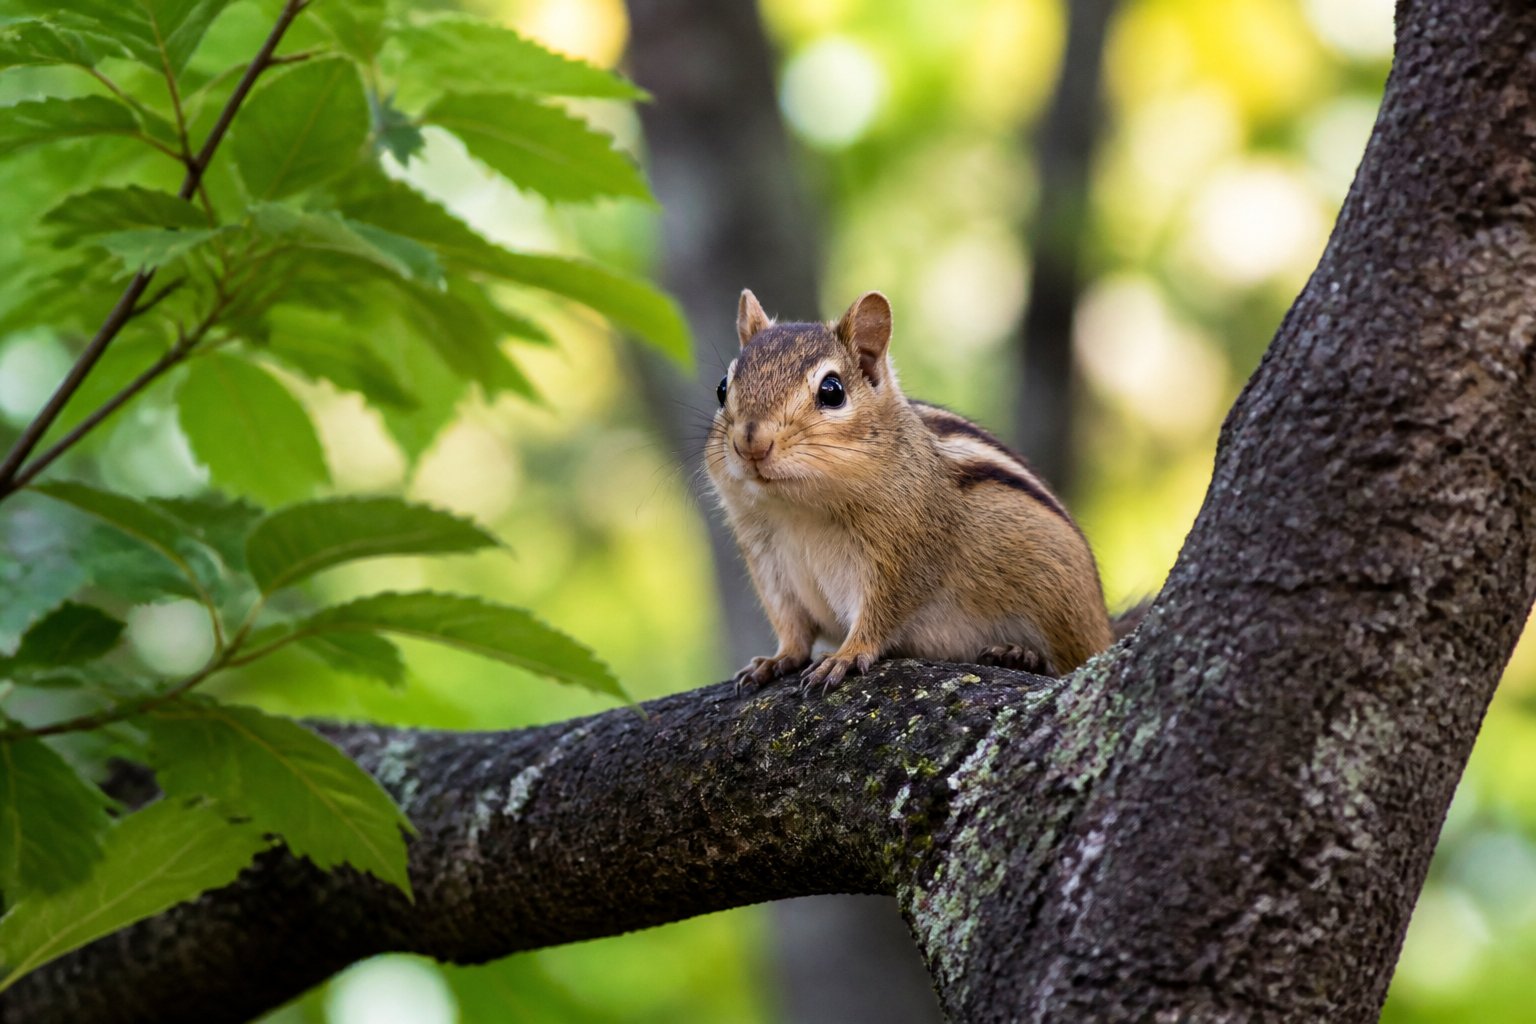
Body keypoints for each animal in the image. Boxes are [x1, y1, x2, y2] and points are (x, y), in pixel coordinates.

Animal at [705, 288, 1117, 694]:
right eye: (722, 388)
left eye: (832, 391)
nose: (751, 443)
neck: (797, 507)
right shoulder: (770, 564)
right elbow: (791, 626)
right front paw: (777, 659)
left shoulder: (906, 555)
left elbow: (882, 612)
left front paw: (847, 654)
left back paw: (1022, 655)